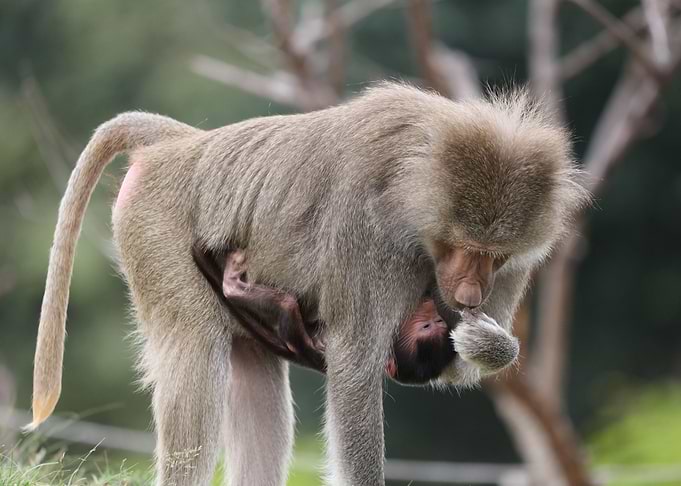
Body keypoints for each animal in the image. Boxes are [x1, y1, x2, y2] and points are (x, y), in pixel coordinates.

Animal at [29, 83, 589, 486]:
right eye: (465, 248)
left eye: (495, 256)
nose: (469, 298)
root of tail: (185, 143)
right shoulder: (367, 238)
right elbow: (355, 368)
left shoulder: (510, 273)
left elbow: (456, 369)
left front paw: (485, 340)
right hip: (155, 235)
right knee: (196, 359)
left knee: (255, 377)